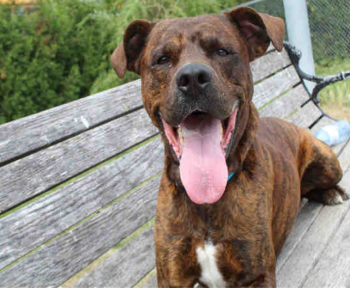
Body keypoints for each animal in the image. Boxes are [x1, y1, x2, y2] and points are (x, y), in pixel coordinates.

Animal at [110, 6, 348, 288]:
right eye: (162, 59)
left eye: (222, 51)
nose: (192, 78)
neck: (206, 202)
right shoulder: (172, 276)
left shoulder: (257, 273)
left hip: (328, 162)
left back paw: (332, 192)